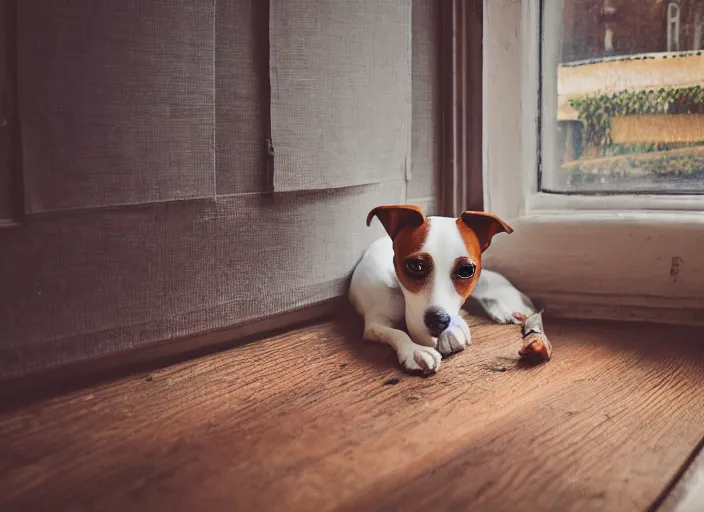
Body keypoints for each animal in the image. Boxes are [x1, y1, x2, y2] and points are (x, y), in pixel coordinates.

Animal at [350, 202, 536, 374]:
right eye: (416, 266)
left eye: (466, 270)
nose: (438, 320)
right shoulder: (375, 323)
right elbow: (396, 333)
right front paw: (415, 350)